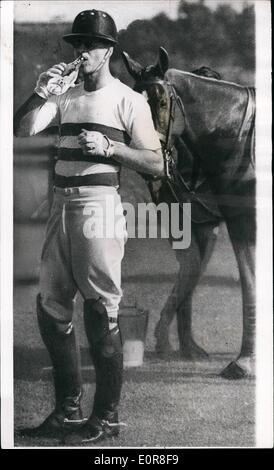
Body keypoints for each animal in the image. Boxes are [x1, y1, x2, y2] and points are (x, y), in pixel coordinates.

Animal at [122, 46, 255, 378]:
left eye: (162, 102)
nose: (147, 158)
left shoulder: (241, 220)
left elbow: (247, 281)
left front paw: (243, 362)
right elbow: (192, 270)